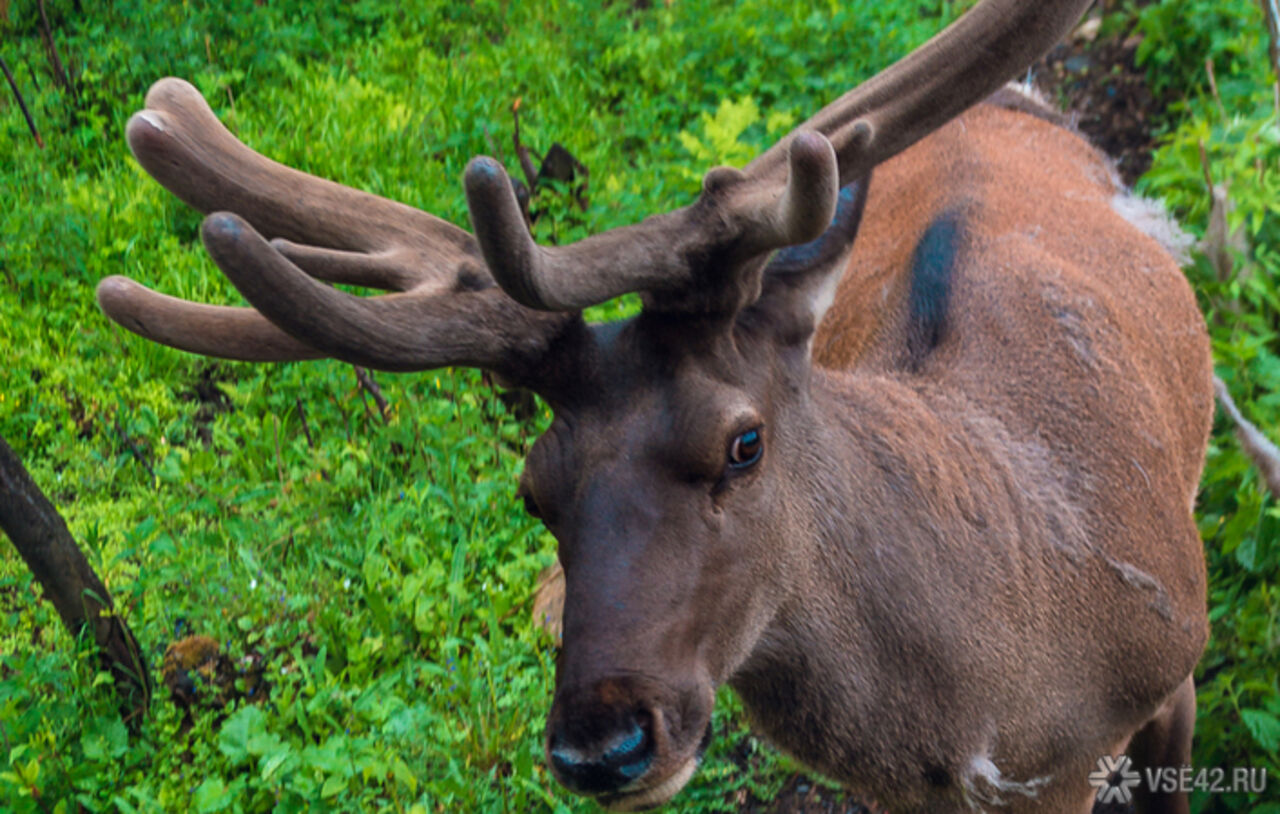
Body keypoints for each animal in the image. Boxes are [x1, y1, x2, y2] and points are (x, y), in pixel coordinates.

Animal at [90, 0, 1218, 808]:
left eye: (743, 443)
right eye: (533, 489)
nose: (602, 744)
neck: (995, 712)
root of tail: (1012, 99)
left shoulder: (1166, 681)